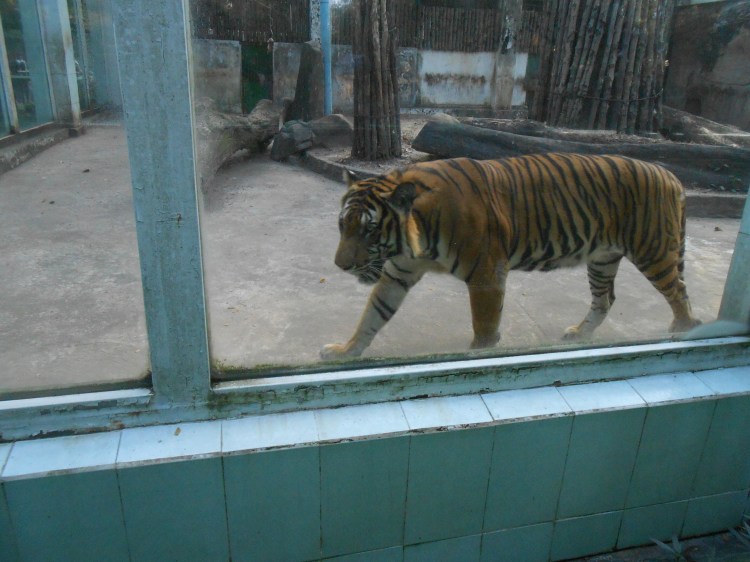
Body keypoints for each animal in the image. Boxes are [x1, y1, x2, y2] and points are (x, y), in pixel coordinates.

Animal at [321, 153, 701, 359]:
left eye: (369, 230)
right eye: (343, 226)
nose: (341, 265)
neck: (415, 239)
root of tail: (671, 175)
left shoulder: (486, 275)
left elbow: (484, 326)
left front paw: (478, 355)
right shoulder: (398, 272)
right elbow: (372, 315)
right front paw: (345, 352)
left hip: (653, 252)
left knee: (679, 291)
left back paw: (682, 329)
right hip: (602, 259)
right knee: (605, 300)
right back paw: (579, 334)